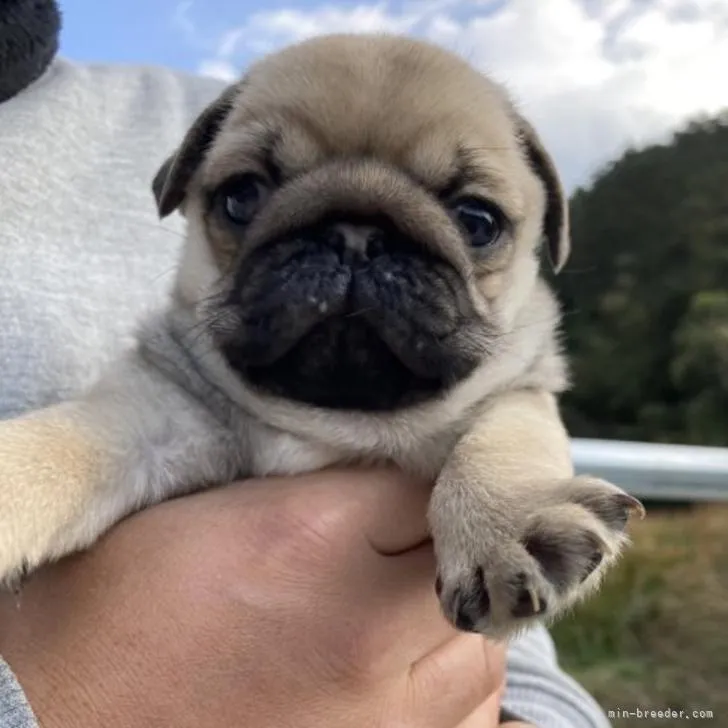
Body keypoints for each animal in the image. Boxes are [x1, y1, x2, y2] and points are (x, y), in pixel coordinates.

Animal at [0, 34, 644, 640]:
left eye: (477, 220)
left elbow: (504, 436)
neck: (335, 420)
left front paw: (508, 519)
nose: (355, 234)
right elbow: (64, 443)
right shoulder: (154, 417)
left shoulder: (521, 388)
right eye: (242, 197)